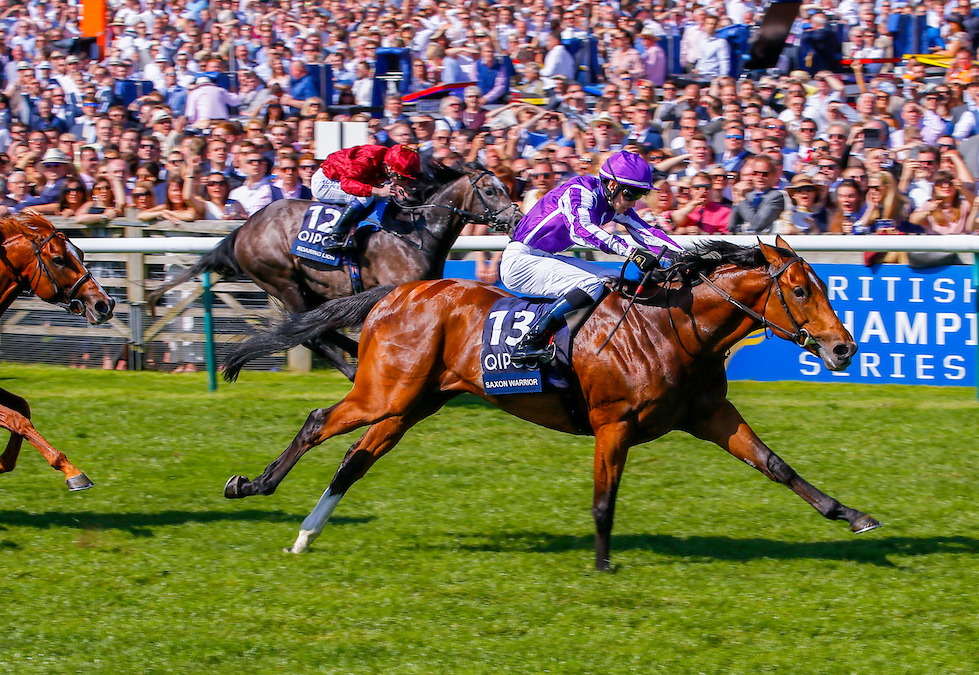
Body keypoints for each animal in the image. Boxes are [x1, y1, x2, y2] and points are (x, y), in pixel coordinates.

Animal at [0, 211, 115, 492]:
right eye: (59, 259)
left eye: (81, 253)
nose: (105, 304)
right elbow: (17, 419)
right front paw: (73, 472)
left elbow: (22, 408)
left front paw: (3, 462)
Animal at [145, 160, 520, 380]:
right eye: (490, 190)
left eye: (506, 187)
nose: (516, 218)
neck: (416, 232)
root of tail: (244, 229)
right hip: (284, 281)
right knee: (310, 333)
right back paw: (353, 371)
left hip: (308, 287)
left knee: (315, 327)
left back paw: (355, 356)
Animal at [226, 238, 884, 572]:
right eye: (799, 288)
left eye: (823, 285)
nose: (843, 347)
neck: (673, 326)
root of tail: (396, 292)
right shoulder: (614, 422)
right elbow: (603, 500)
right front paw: (603, 565)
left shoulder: (709, 416)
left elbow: (777, 466)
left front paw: (853, 515)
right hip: (383, 392)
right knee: (319, 423)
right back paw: (249, 486)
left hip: (411, 405)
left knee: (355, 461)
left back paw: (306, 535)